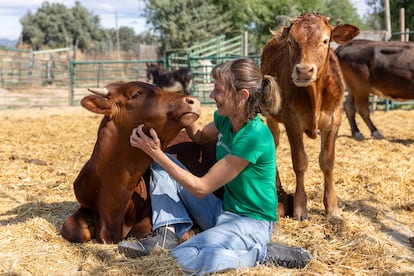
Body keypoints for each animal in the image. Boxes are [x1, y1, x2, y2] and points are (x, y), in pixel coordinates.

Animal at [262, 12, 360, 220]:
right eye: (291, 42)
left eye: (325, 40)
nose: (304, 70)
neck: (315, 94)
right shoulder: (292, 122)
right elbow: (300, 162)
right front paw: (300, 207)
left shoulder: (334, 120)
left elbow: (327, 162)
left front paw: (332, 208)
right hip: (271, 117)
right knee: (273, 143)